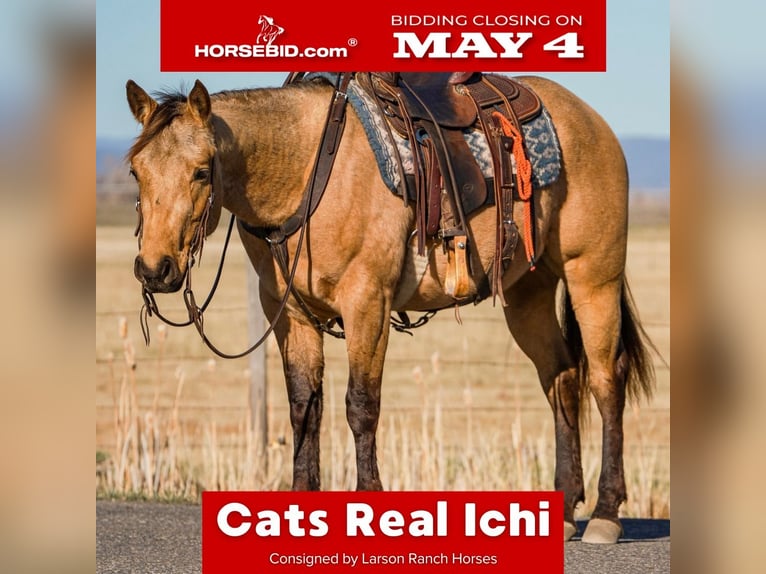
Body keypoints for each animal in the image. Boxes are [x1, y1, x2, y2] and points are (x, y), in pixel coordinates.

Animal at [125, 73, 655, 544]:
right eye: (136, 171)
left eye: (201, 170)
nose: (155, 269)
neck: (306, 171)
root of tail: (592, 121)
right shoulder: (290, 313)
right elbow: (304, 409)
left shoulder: (368, 303)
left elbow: (361, 406)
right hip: (529, 294)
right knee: (562, 378)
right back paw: (564, 511)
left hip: (593, 278)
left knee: (606, 381)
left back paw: (606, 513)